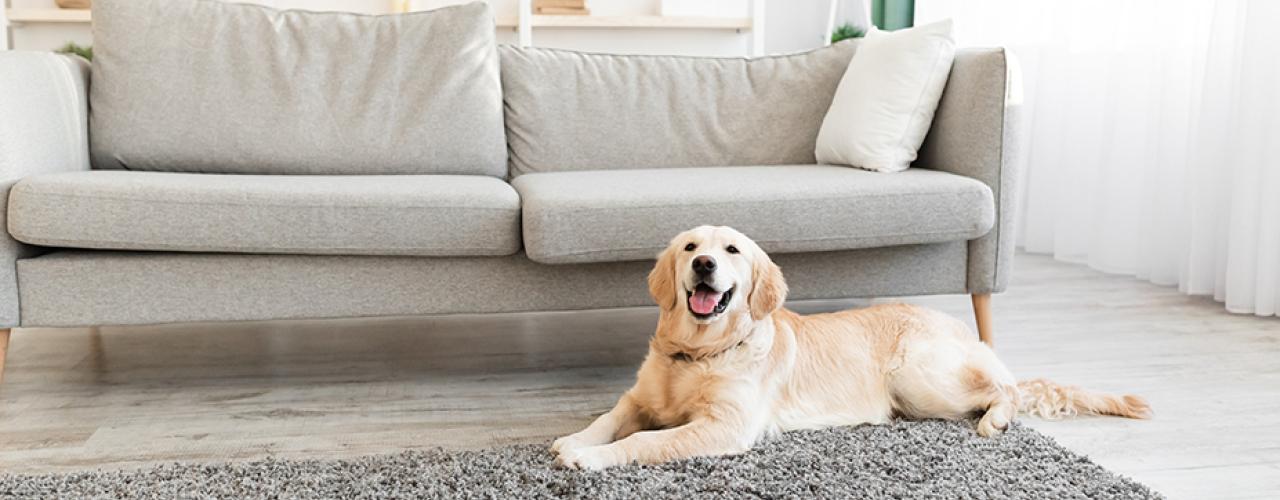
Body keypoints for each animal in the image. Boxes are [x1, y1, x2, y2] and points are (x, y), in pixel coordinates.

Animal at [550, 227, 1152, 470]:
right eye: (690, 247)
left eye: (732, 250)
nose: (703, 264)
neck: (698, 352)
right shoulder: (639, 399)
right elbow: (610, 418)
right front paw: (572, 439)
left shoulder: (724, 427)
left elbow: (644, 442)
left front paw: (589, 457)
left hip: (919, 377)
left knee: (1006, 389)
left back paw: (994, 419)